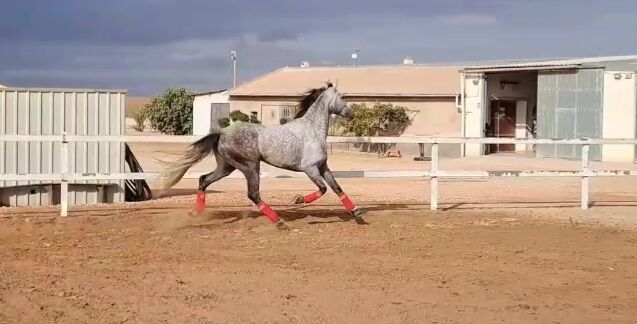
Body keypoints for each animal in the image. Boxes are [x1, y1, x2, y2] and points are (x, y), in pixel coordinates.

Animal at [154, 85, 362, 229]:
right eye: (342, 97)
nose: (352, 113)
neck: (312, 129)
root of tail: (221, 133)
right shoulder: (310, 169)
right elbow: (323, 189)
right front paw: (298, 200)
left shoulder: (323, 166)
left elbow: (337, 188)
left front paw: (356, 213)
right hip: (250, 167)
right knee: (253, 194)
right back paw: (279, 222)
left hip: (226, 167)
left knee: (203, 179)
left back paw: (196, 212)